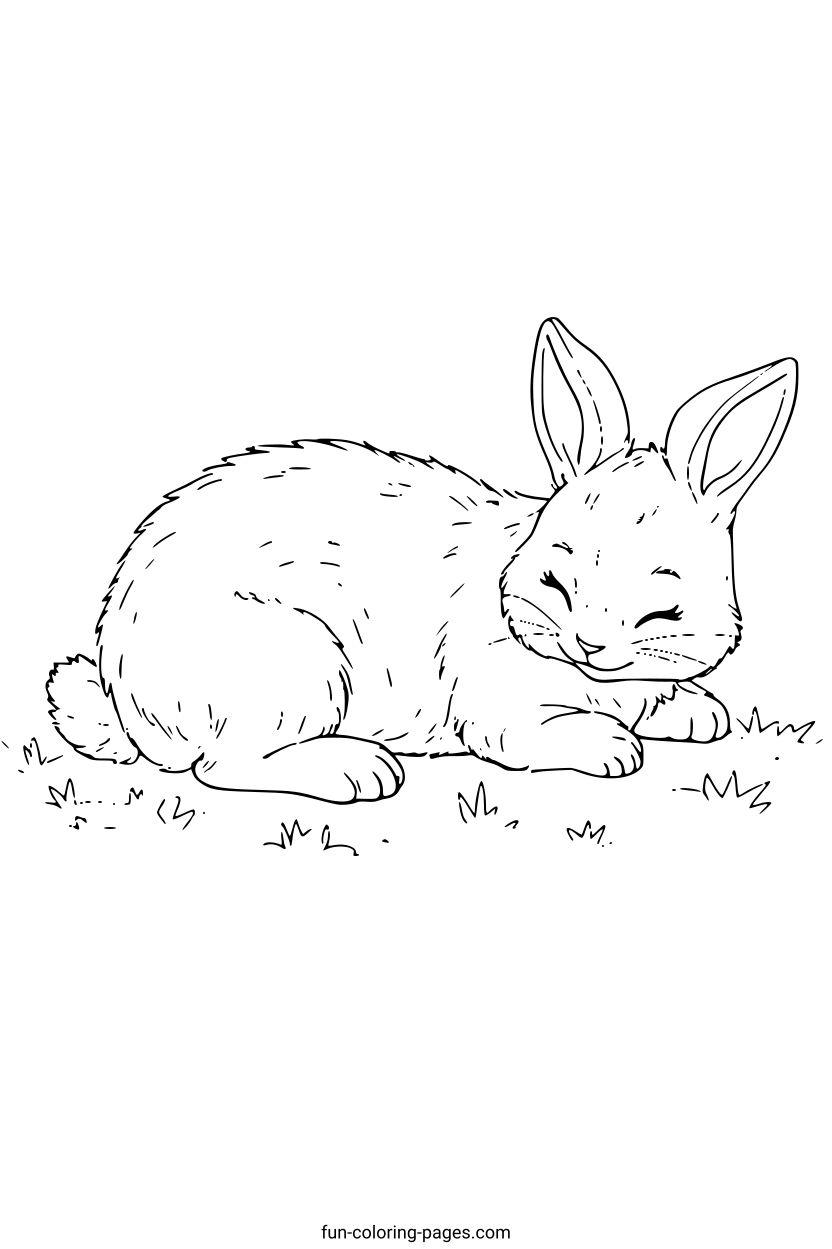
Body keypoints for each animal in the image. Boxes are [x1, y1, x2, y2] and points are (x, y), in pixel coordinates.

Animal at [47, 318, 798, 803]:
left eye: (665, 602)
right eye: (555, 579)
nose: (589, 643)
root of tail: (131, 701)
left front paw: (697, 713)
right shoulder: (498, 702)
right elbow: (535, 731)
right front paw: (610, 746)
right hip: (295, 665)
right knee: (225, 764)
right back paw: (357, 771)